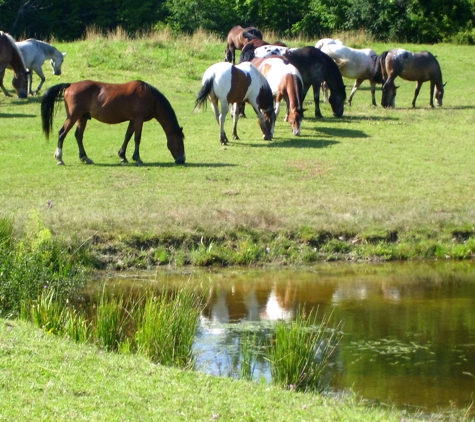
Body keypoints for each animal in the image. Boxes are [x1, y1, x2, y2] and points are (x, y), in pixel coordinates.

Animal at [41, 80, 186, 166]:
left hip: (82, 118)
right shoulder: (138, 119)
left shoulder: (132, 120)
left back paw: (85, 158)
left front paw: (123, 156)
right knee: (62, 133)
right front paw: (137, 158)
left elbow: (127, 137)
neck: (150, 97)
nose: (182, 160)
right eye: (180, 142)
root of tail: (70, 85)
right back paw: (59, 158)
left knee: (78, 136)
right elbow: (137, 138)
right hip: (73, 117)